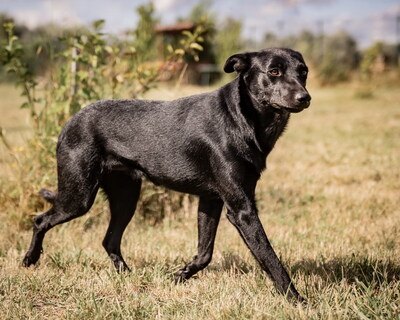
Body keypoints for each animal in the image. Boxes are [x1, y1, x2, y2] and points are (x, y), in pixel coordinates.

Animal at [21, 47, 310, 300]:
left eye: (303, 71)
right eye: (273, 71)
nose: (304, 98)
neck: (241, 117)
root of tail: (71, 121)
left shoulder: (211, 201)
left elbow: (205, 253)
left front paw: (180, 275)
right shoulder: (242, 209)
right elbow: (270, 258)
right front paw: (296, 299)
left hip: (125, 197)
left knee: (109, 240)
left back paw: (128, 276)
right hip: (79, 196)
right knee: (40, 220)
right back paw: (29, 260)